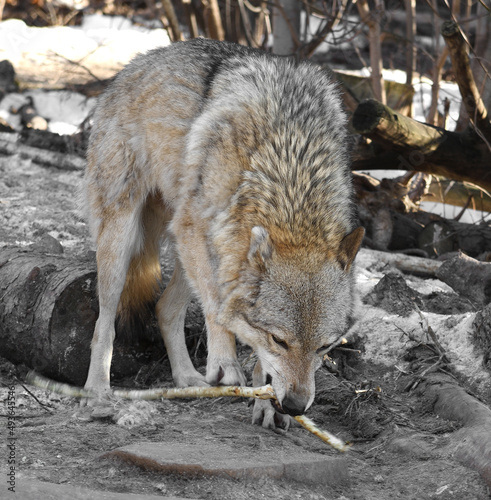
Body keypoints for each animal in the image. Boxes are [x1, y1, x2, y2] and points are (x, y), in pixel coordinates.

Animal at [82, 39, 364, 430]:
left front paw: (265, 405)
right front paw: (225, 364)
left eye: (325, 347)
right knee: (105, 321)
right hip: (127, 240)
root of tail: (131, 66)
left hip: (200, 252)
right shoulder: (192, 229)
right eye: (280, 340)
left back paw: (187, 378)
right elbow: (219, 312)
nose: (294, 406)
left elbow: (256, 351)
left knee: (164, 309)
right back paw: (97, 392)